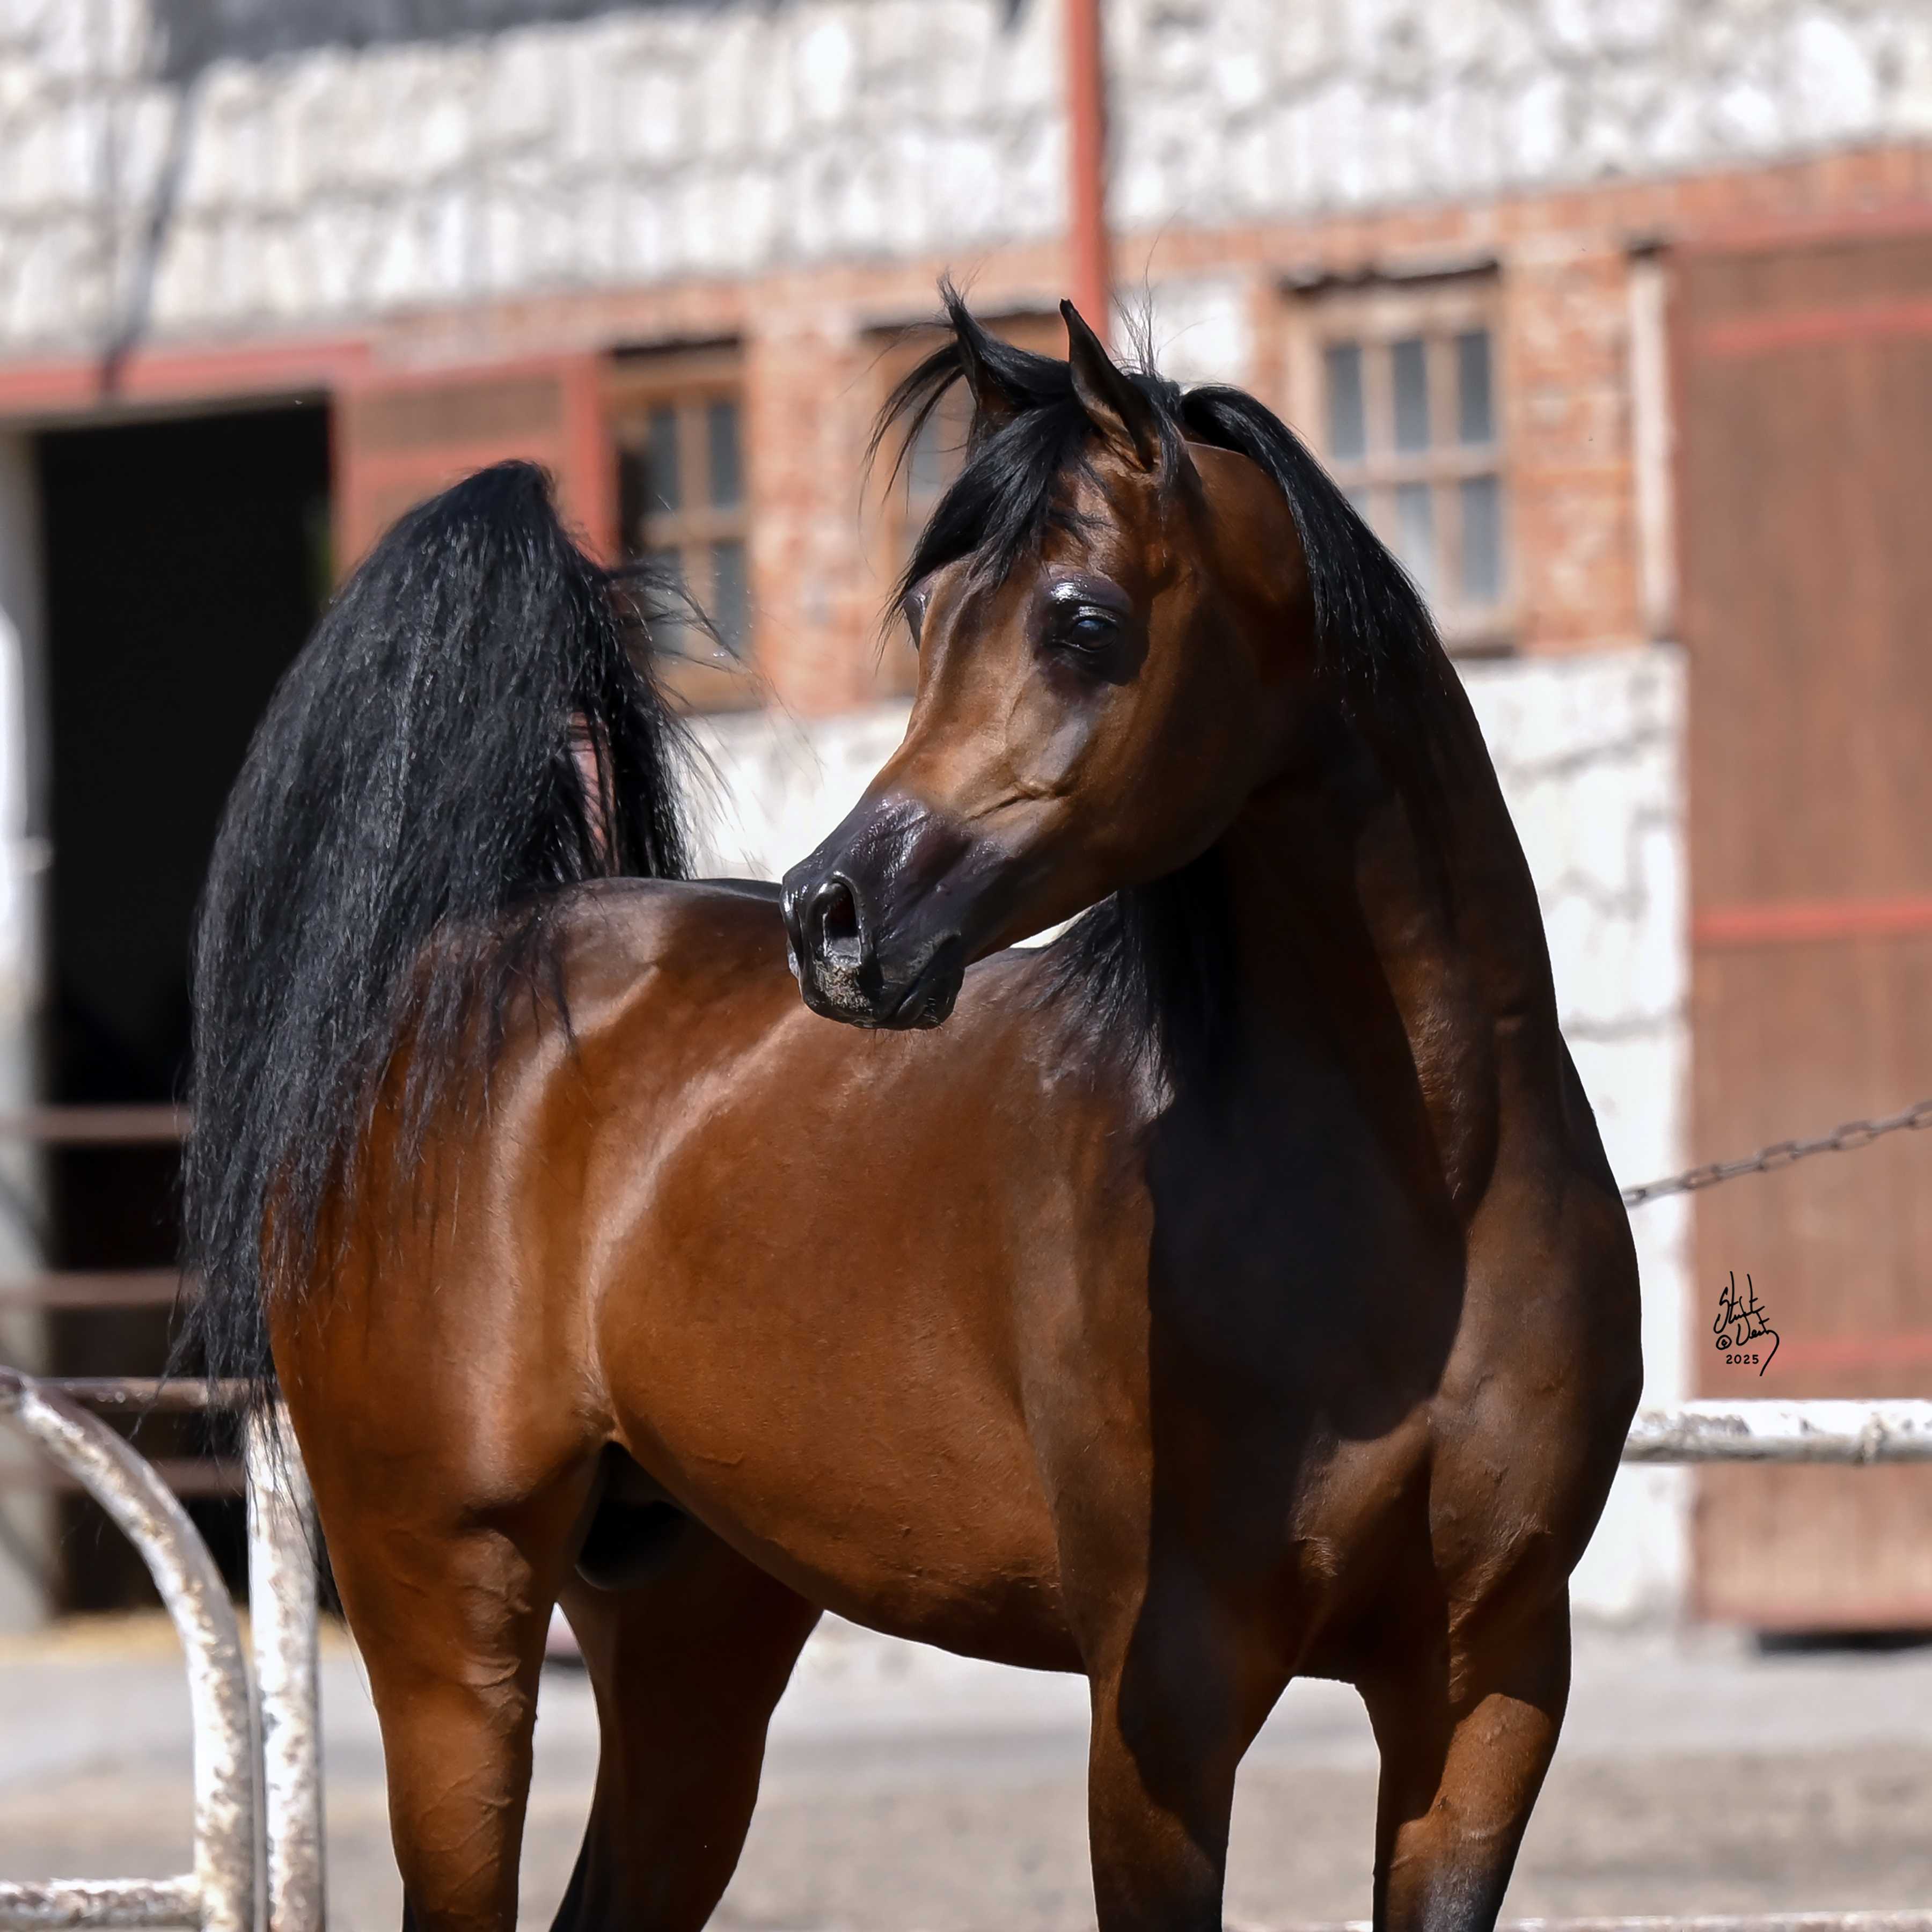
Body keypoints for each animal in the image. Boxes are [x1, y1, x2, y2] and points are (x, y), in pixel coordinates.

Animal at [182, 293, 1641, 1932]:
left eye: (1083, 623)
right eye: (931, 617)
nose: (835, 921)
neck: (1422, 1195)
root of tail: (452, 975)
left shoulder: (1487, 1687)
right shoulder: (1167, 1700)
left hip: (691, 1634)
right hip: (450, 1608)